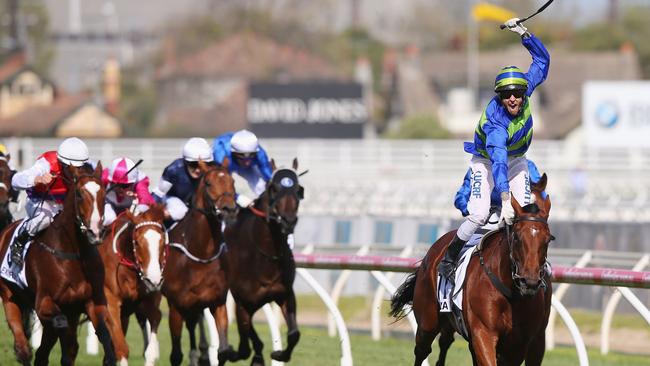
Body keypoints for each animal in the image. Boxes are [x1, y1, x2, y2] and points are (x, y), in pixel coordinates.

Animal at [0, 164, 115, 366]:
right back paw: (24, 351)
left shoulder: (91, 301)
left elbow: (102, 331)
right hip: (9, 295)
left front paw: (109, 357)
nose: (95, 232)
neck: (74, 253)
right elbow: (61, 327)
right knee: (24, 339)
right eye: (79, 194)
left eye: (103, 194)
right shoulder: (44, 302)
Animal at [99, 203, 167, 366]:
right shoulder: (110, 302)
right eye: (136, 242)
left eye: (162, 241)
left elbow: (157, 316)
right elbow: (121, 348)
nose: (154, 280)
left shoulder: (147, 299)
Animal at [161, 160, 238, 366]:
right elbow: (175, 355)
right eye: (209, 183)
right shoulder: (176, 306)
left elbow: (223, 351)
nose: (229, 209)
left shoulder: (217, 302)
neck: (200, 252)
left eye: (232, 181)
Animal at [223, 159, 304, 364]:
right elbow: (244, 347)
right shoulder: (243, 302)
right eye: (273, 188)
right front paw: (230, 352)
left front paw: (279, 354)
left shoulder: (285, 294)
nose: (288, 221)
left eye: (299, 189)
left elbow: (294, 334)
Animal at [390, 174, 552, 366]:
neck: (511, 293)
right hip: (427, 320)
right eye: (517, 237)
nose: (530, 282)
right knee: (422, 350)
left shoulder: (522, 343)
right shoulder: (483, 333)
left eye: (548, 239)